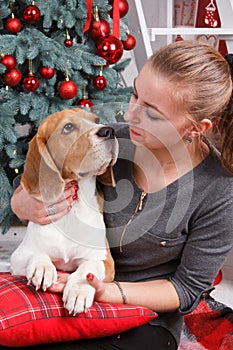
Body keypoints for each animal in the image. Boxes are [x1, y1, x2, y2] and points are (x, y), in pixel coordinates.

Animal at [9, 107, 117, 314]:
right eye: (68, 127)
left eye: (96, 120)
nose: (109, 131)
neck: (74, 210)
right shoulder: (17, 257)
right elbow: (36, 254)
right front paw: (42, 267)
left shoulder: (104, 260)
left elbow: (88, 268)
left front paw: (79, 291)